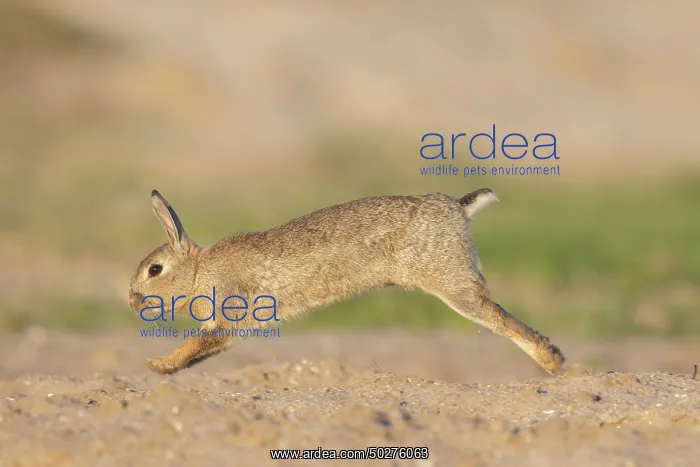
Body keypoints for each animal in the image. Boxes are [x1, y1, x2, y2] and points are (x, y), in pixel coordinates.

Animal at [128, 188, 565, 375]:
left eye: (155, 271)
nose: (132, 301)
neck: (198, 271)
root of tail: (457, 208)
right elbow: (205, 349)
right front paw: (166, 370)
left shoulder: (233, 309)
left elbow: (196, 343)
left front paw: (159, 364)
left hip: (450, 281)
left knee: (498, 317)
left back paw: (552, 362)